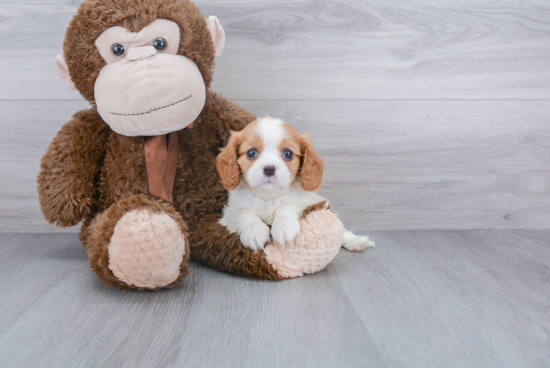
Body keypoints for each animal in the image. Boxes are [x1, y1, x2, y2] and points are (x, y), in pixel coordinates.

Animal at [218, 116, 378, 252]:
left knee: (342, 232)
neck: (269, 196)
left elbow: (287, 206)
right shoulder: (231, 211)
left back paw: (356, 241)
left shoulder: (307, 201)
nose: (269, 168)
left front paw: (283, 227)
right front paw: (254, 232)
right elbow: (244, 213)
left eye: (288, 154)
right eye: (251, 153)